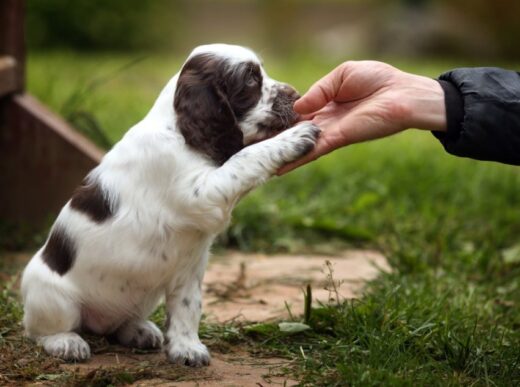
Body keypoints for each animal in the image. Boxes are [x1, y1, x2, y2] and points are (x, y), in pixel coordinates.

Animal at [21, 44, 320, 366]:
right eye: (251, 79)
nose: (297, 95)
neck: (178, 131)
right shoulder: (202, 193)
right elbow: (244, 158)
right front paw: (295, 138)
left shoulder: (189, 267)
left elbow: (188, 307)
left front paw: (186, 348)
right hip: (53, 297)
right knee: (41, 330)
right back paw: (66, 342)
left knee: (119, 324)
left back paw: (139, 331)